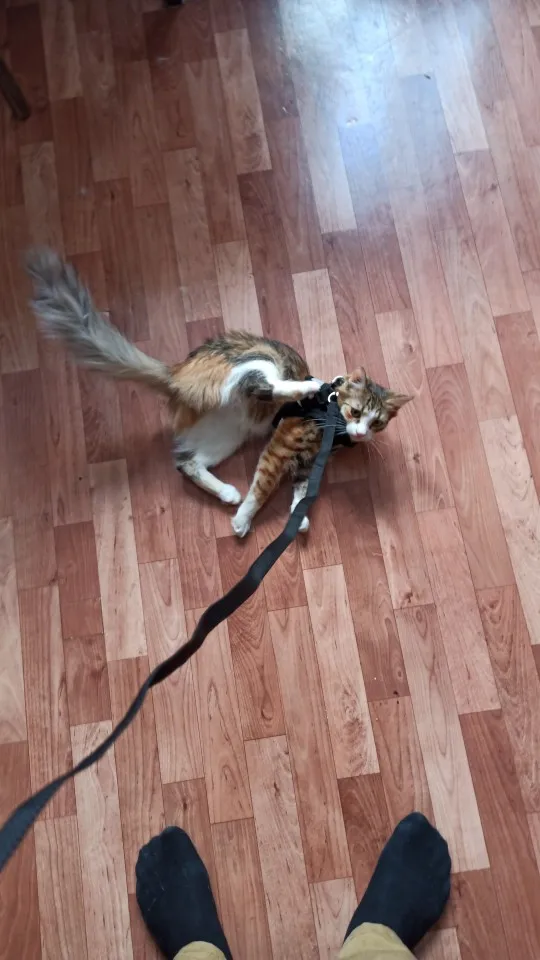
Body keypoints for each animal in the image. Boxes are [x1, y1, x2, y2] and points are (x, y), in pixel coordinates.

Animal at [26, 248, 411, 537]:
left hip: (226, 436)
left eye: (377, 423)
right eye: (356, 413)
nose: (362, 433)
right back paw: (304, 386)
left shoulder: (305, 465)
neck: (330, 426)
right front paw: (244, 520)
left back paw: (226, 491)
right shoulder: (281, 448)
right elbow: (262, 489)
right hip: (256, 363)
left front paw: (298, 518)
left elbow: (302, 494)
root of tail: (177, 373)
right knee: (263, 386)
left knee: (187, 463)